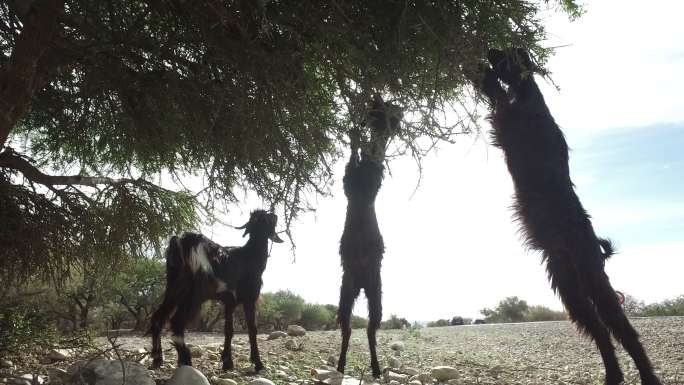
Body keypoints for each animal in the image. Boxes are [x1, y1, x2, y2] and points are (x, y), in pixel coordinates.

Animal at [148, 208, 282, 370]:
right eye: (267, 219)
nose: (275, 215)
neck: (249, 257)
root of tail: (180, 241)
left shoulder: (229, 301)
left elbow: (228, 330)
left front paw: (227, 362)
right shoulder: (250, 298)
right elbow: (252, 329)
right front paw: (258, 363)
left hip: (173, 288)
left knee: (157, 318)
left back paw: (157, 359)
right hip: (194, 293)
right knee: (176, 323)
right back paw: (185, 359)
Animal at [476, 48, 664, 384]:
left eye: (507, 54)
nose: (490, 50)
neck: (528, 95)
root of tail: (596, 250)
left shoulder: (506, 119)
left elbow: (495, 92)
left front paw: (480, 74)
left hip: (594, 286)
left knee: (625, 333)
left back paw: (647, 376)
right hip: (571, 292)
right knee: (602, 333)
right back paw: (612, 375)